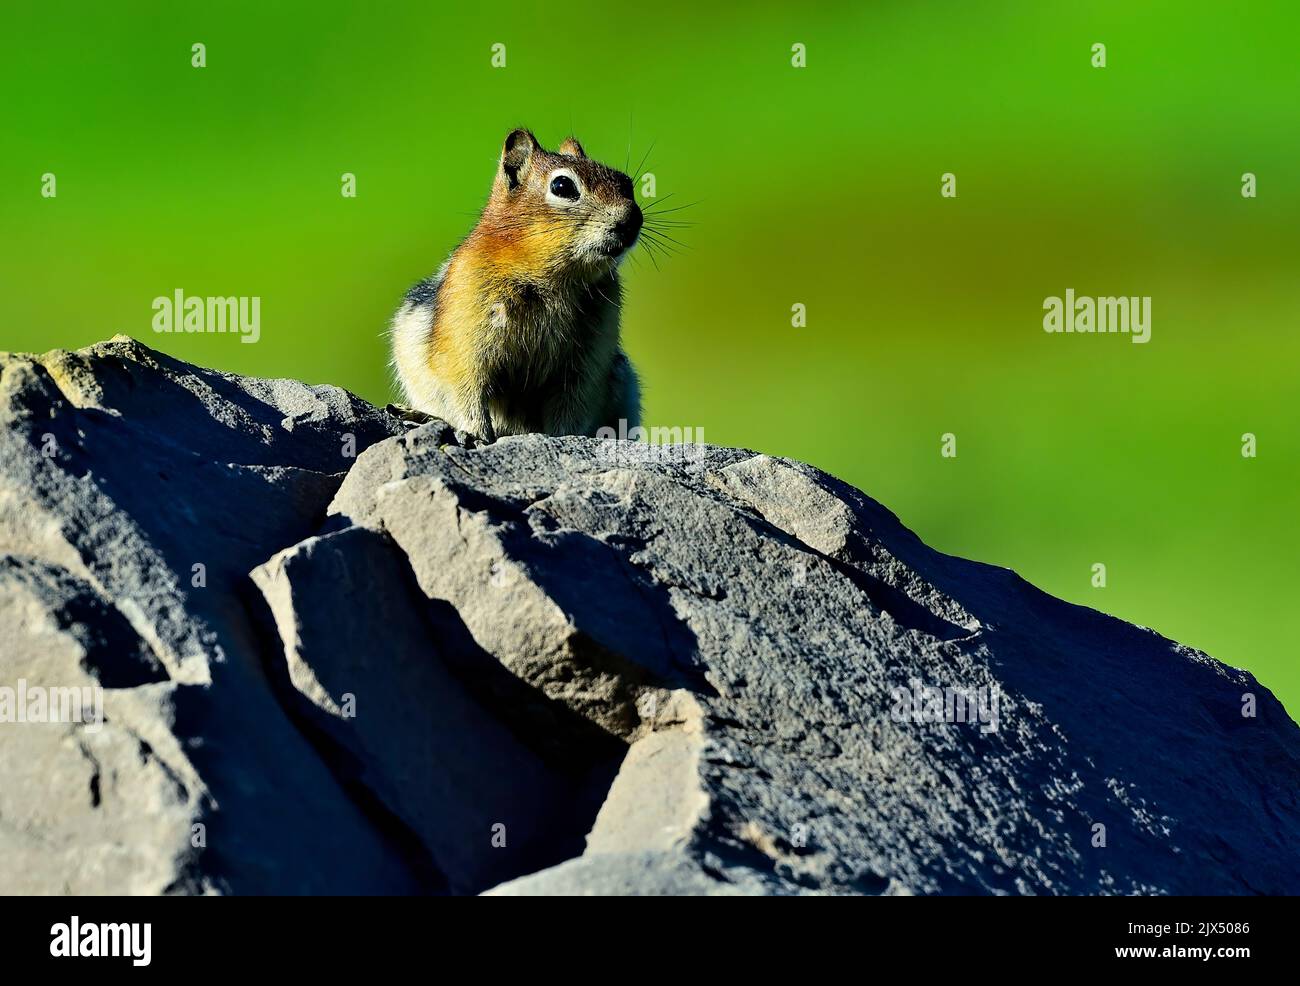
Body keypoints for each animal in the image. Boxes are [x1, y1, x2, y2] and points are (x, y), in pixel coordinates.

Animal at [390, 128, 644, 444]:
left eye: (626, 182)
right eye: (562, 185)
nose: (632, 220)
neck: (554, 279)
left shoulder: (588, 359)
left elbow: (573, 403)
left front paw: (564, 438)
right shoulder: (464, 337)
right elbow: (466, 389)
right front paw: (475, 433)